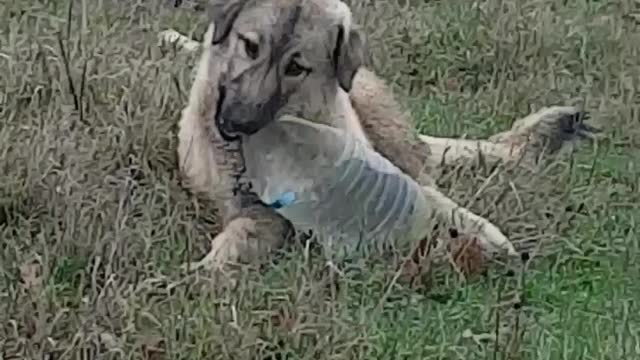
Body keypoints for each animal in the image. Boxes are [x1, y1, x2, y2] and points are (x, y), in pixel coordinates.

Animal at [162, 0, 596, 272]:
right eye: (250, 46)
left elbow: (440, 204)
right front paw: (198, 273)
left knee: (430, 179)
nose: (235, 123)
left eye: (296, 67)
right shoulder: (258, 216)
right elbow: (239, 239)